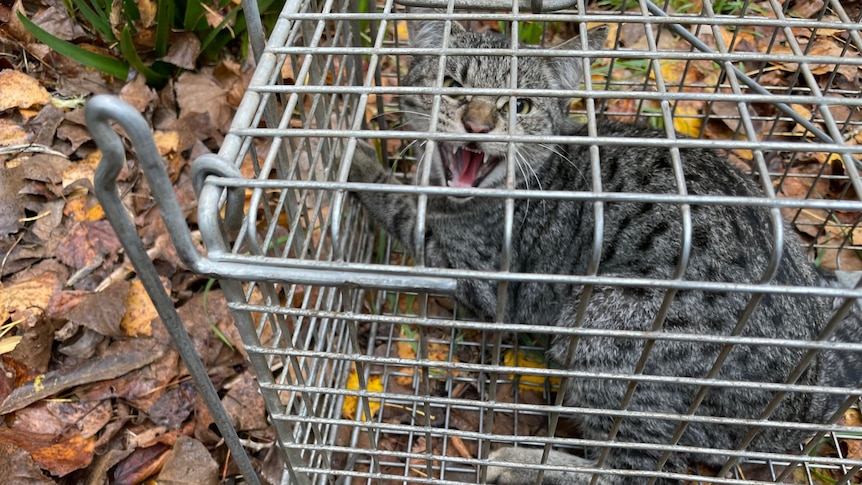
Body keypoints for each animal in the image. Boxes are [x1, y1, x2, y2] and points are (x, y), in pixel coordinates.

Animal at [344, 15, 862, 484]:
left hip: (605, 329)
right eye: (452, 86)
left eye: (520, 105)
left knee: (643, 471)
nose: (477, 124)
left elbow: (397, 206)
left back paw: (520, 462)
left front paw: (358, 160)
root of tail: (801, 400)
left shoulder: (478, 275)